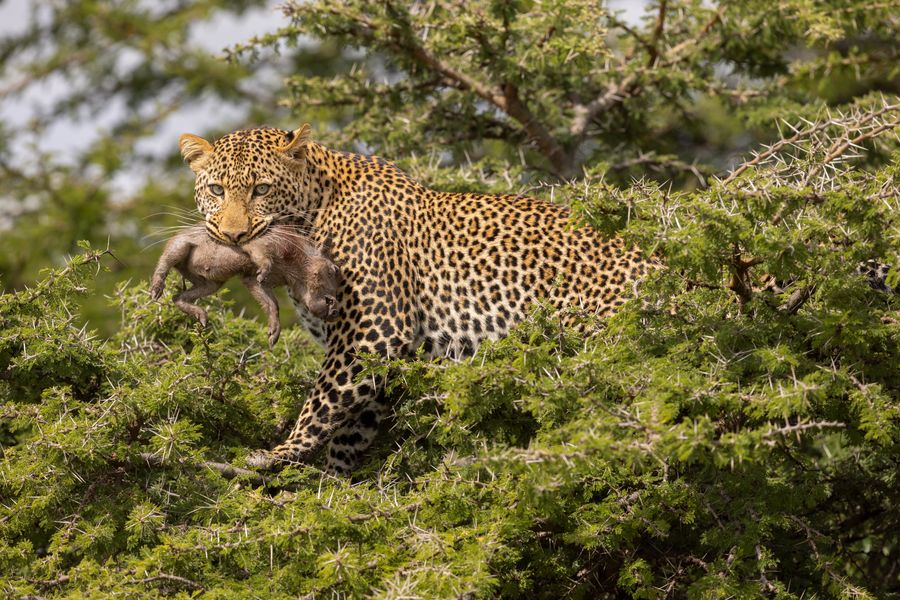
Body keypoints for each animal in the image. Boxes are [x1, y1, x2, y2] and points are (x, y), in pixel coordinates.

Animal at [178, 124, 652, 476]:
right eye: (217, 190)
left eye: (260, 189)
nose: (234, 235)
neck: (315, 210)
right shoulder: (380, 354)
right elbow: (351, 426)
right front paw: (334, 486)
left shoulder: (374, 329)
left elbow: (322, 401)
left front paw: (280, 453)